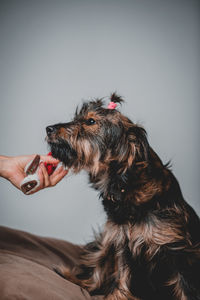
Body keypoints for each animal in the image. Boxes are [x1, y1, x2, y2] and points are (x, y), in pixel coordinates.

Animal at [45, 94, 200, 300]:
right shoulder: (121, 242)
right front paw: (114, 296)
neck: (123, 184)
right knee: (97, 270)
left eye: (91, 121)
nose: (49, 128)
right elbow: (121, 276)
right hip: (104, 241)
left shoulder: (179, 251)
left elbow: (186, 288)